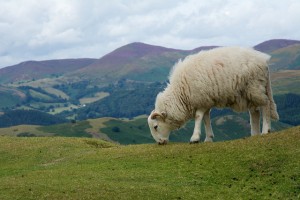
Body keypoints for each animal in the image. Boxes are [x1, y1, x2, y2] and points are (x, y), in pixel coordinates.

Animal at [148, 46, 278, 145]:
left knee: (266, 105)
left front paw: (195, 138)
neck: (180, 94)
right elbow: (206, 119)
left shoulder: (200, 100)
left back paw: (266, 130)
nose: (160, 143)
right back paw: (254, 134)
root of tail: (263, 60)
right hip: (249, 93)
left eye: (155, 126)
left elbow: (198, 117)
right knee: (255, 112)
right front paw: (208, 138)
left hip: (255, 87)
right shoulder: (206, 101)